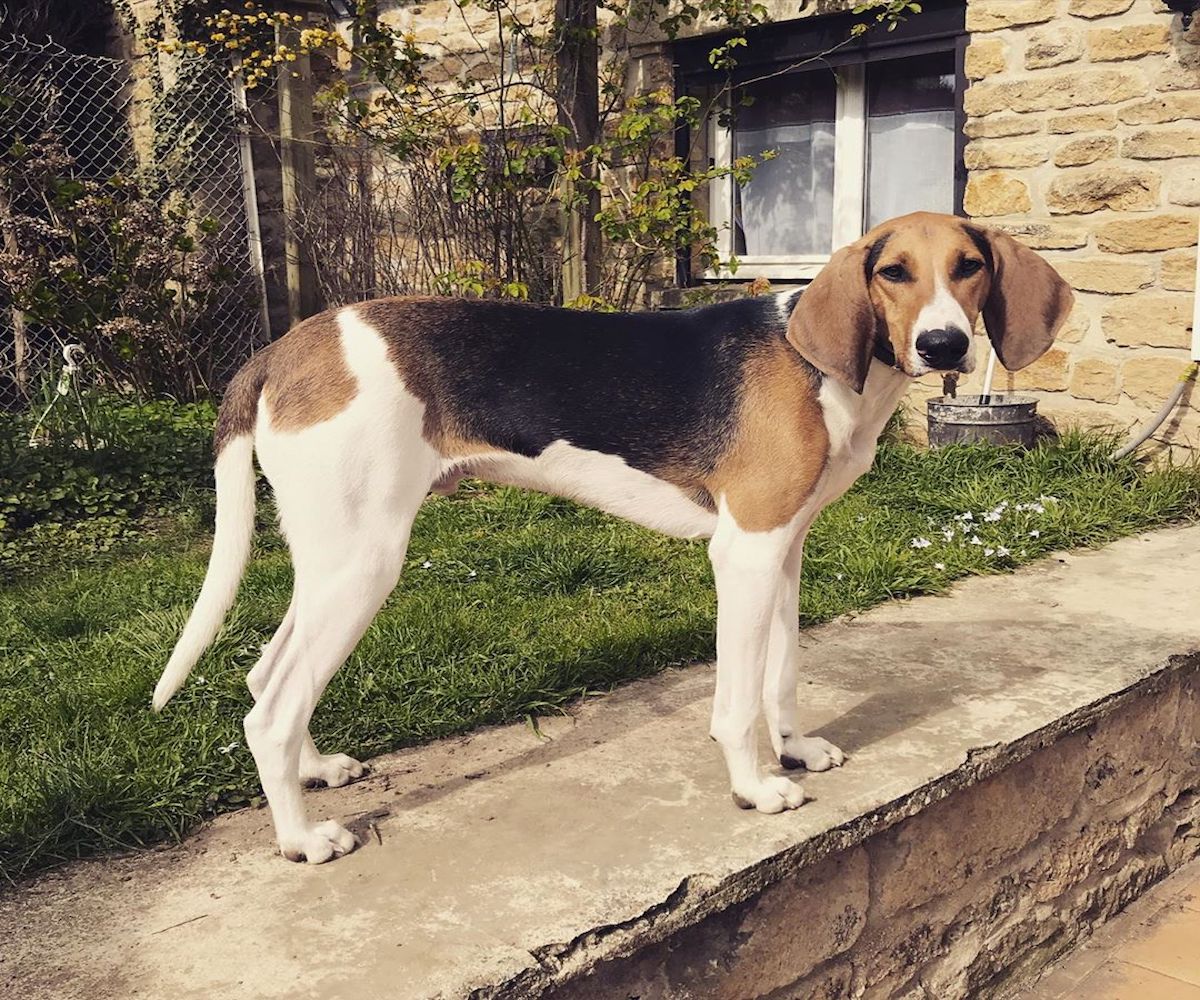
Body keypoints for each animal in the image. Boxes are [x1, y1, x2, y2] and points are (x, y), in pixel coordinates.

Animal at [154, 208, 1075, 859]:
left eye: (970, 267)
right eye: (892, 273)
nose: (945, 344)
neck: (826, 368)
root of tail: (281, 348)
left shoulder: (783, 550)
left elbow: (780, 677)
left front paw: (796, 749)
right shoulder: (743, 553)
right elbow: (737, 701)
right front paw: (755, 787)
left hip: (332, 561)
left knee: (266, 676)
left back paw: (315, 772)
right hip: (364, 563)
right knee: (270, 711)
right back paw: (302, 837)